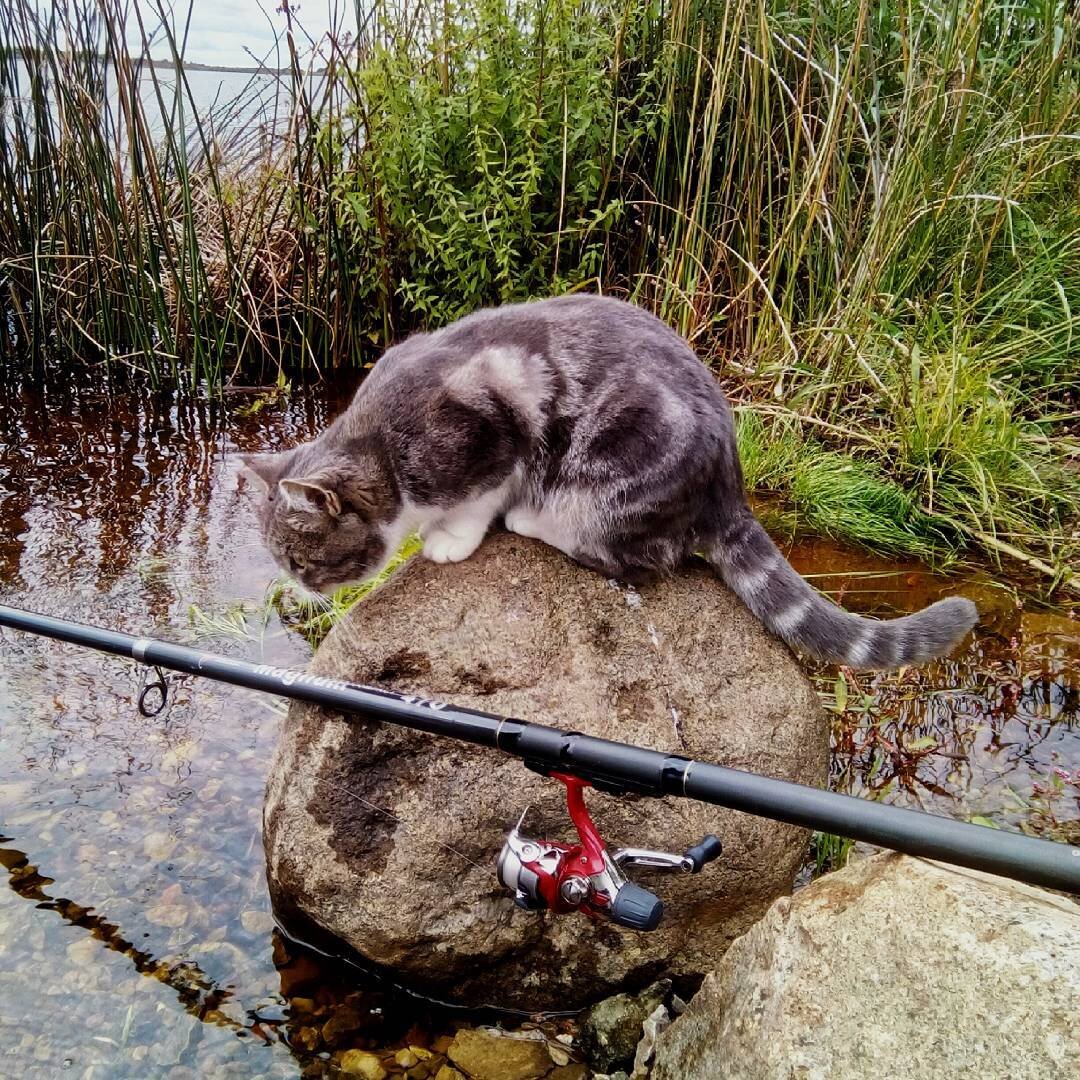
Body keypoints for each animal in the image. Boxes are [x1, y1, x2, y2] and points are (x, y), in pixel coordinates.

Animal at [243, 293, 980, 665]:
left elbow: (479, 497)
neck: (385, 448)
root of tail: (729, 483)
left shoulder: (492, 431)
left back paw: (536, 521)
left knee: (641, 557)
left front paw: (451, 538)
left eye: (303, 562)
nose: (296, 592)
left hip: (608, 482)